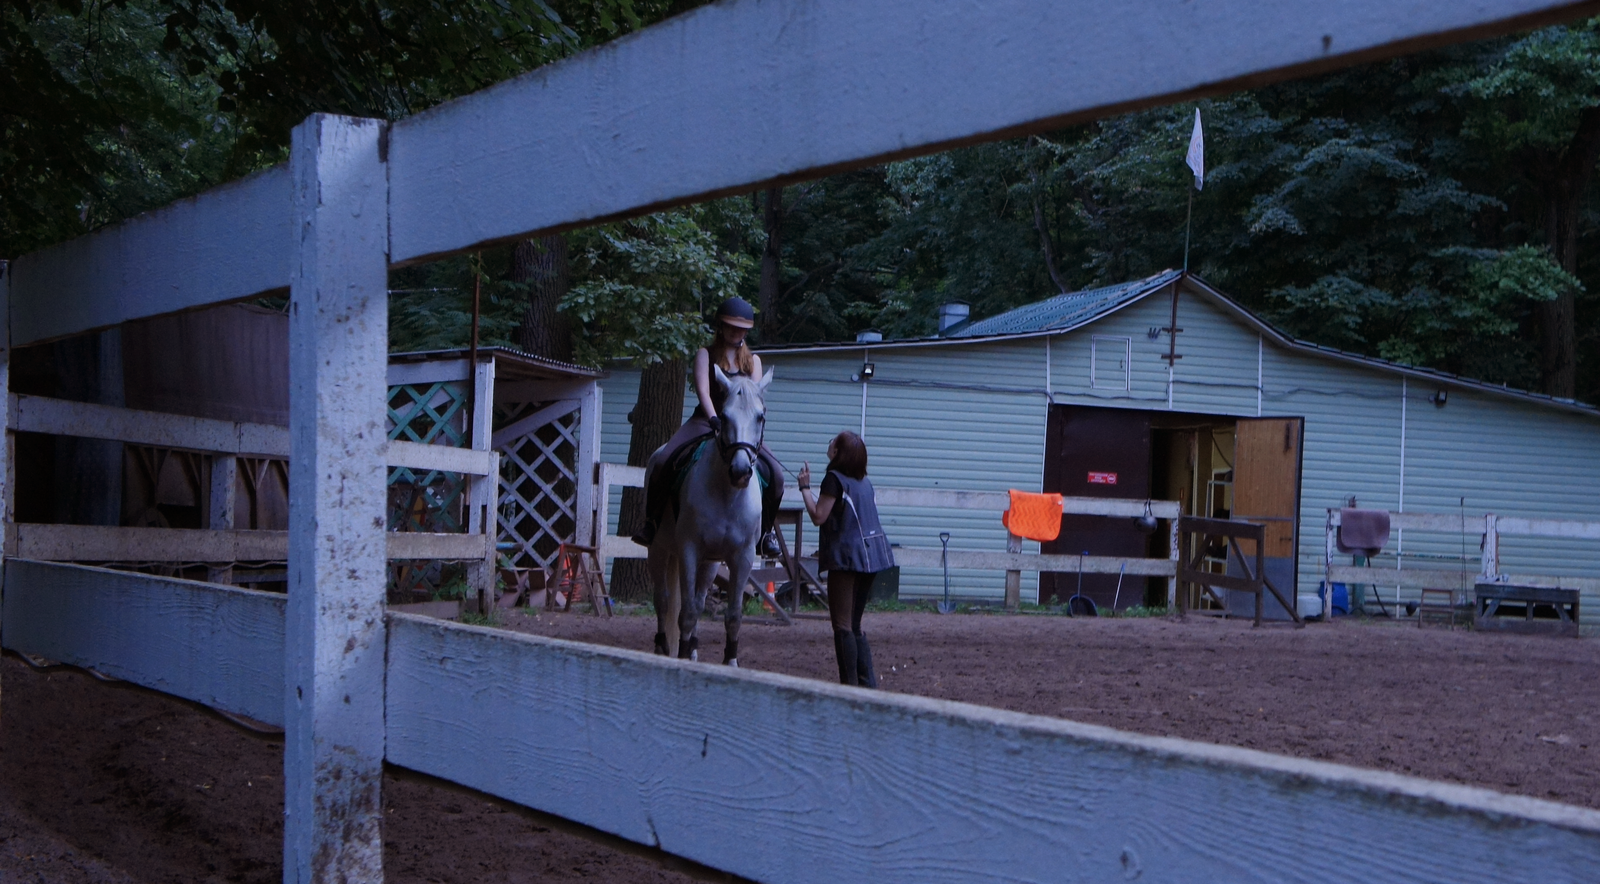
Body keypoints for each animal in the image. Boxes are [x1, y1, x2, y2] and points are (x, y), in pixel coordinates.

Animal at [649, 363, 774, 663]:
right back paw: (663, 646)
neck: (727, 495)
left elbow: (733, 616)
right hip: (658, 549)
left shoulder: (742, 556)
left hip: (711, 562)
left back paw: (693, 649)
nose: (740, 471)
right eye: (724, 416)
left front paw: (730, 660)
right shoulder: (689, 550)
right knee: (663, 600)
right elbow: (687, 613)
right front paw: (682, 655)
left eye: (760, 417)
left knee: (699, 598)